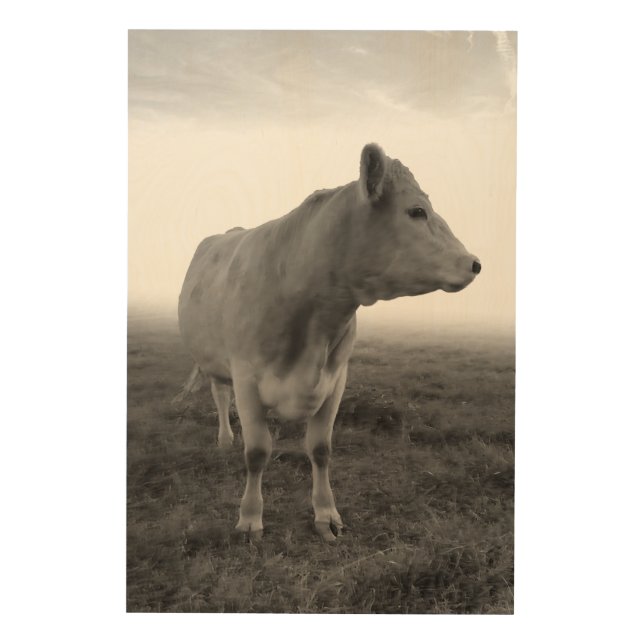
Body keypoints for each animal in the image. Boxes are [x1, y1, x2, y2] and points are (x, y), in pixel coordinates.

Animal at [177, 143, 481, 541]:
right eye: (417, 211)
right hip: (216, 360)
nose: (474, 263)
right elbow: (257, 452)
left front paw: (326, 516)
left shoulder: (335, 380)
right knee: (219, 395)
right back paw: (226, 439)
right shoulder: (246, 377)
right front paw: (250, 519)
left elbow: (320, 449)